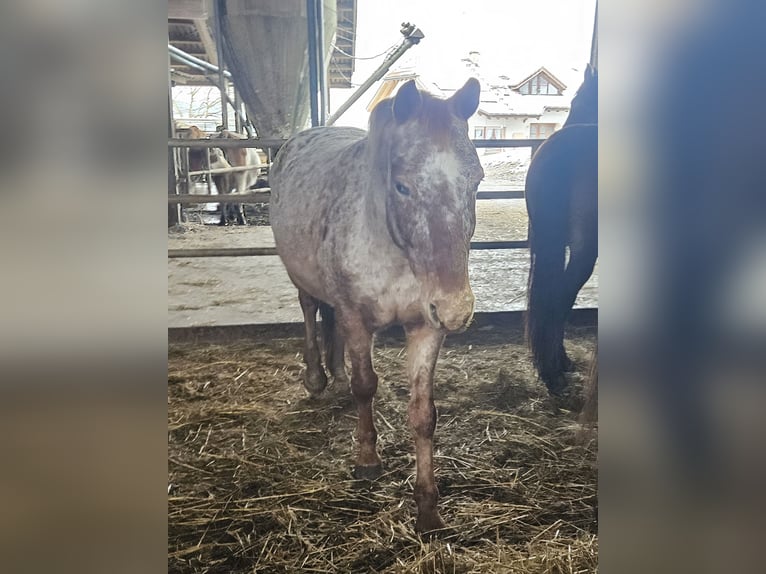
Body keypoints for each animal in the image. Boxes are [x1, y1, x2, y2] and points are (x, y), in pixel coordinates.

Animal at [272, 79, 484, 532]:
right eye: (402, 186)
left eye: (476, 181)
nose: (457, 309)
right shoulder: (357, 318)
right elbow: (365, 385)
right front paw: (367, 460)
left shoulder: (426, 327)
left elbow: (423, 414)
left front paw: (427, 509)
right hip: (302, 280)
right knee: (311, 311)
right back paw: (317, 377)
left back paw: (334, 372)